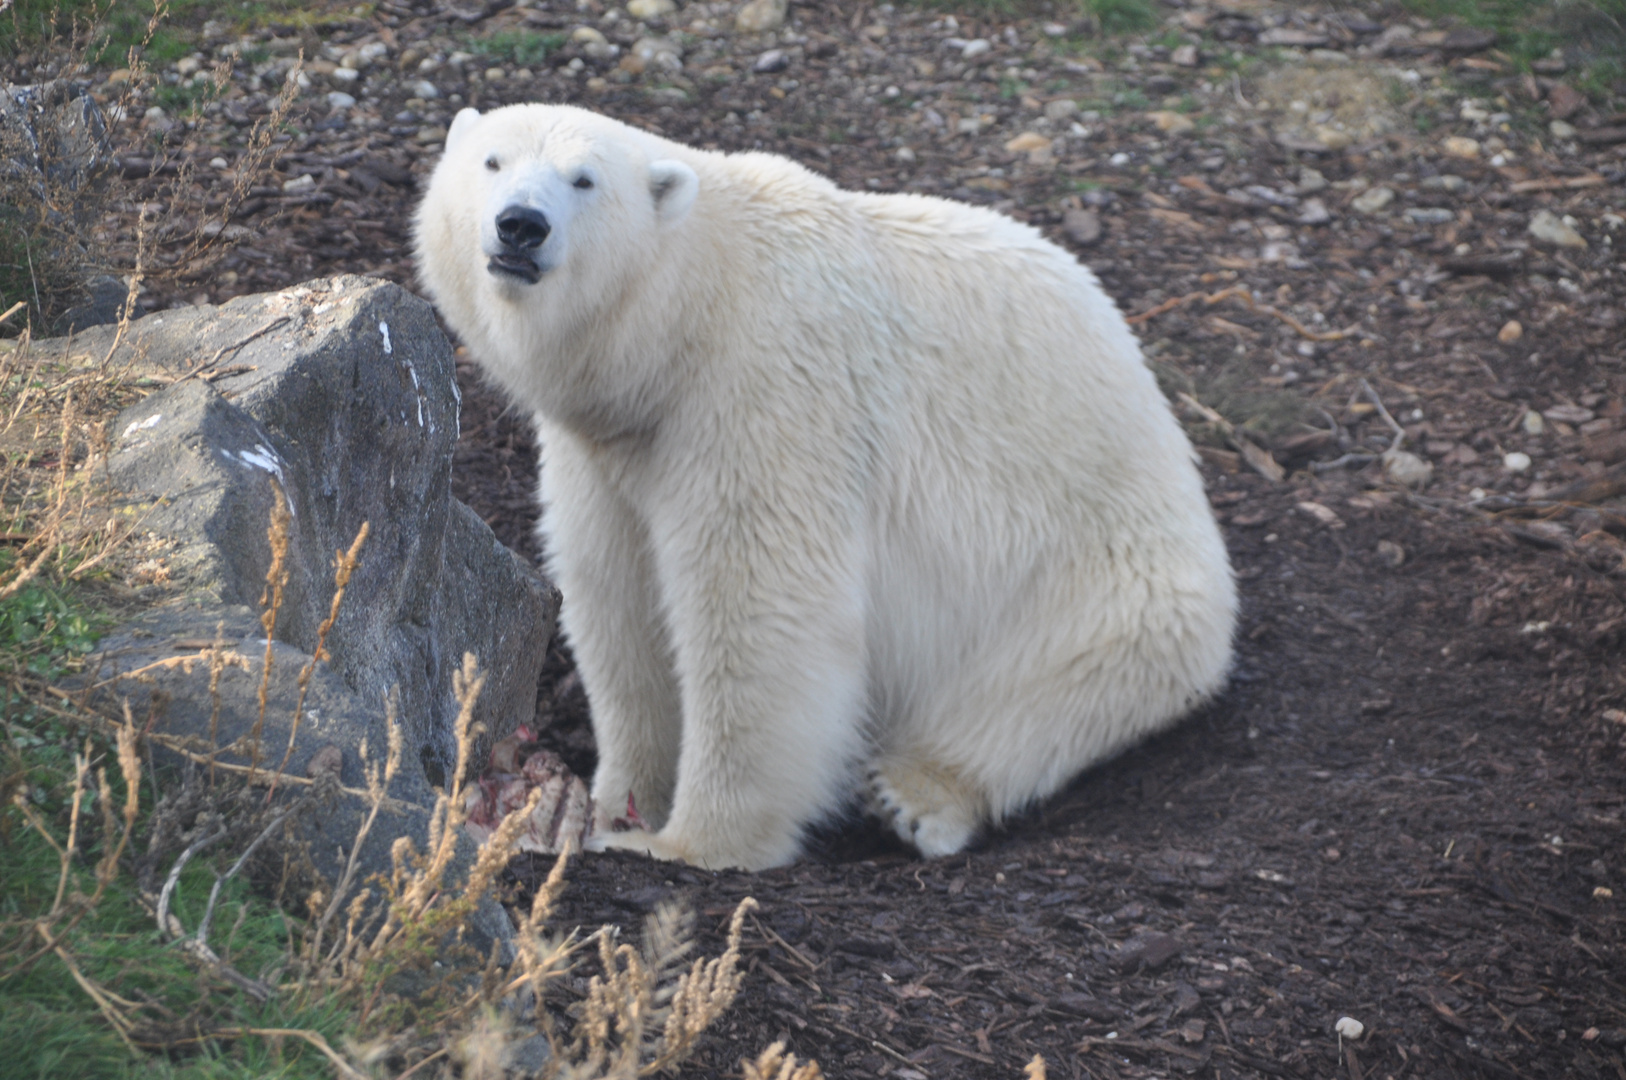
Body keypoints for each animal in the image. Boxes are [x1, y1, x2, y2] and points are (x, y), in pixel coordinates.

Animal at [413, 105, 1235, 871]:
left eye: (584, 180)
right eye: (492, 161)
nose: (521, 226)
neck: (691, 312)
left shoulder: (770, 394)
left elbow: (762, 605)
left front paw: (690, 843)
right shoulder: (611, 450)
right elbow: (616, 597)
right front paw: (611, 805)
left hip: (1107, 566)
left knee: (1064, 676)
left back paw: (913, 794)